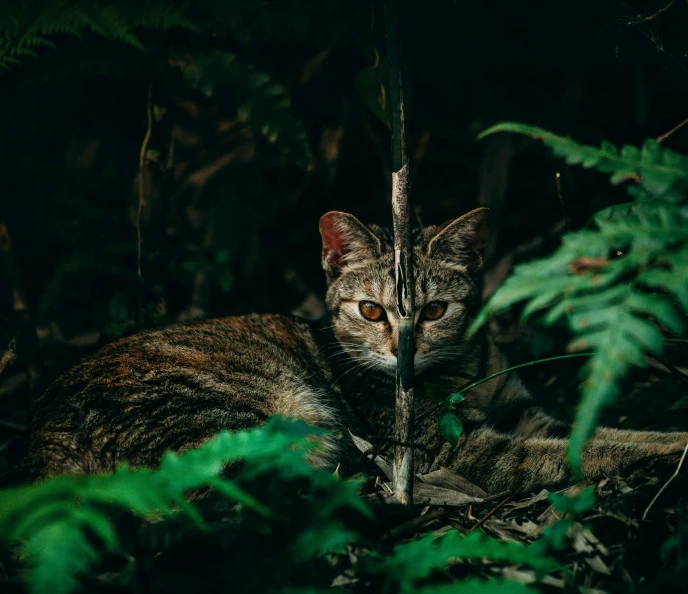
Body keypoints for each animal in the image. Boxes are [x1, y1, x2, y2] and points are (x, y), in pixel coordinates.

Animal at [22, 206, 688, 492]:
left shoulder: (525, 413)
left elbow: (593, 432)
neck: (469, 371)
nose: (404, 350)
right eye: (371, 310)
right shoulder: (457, 451)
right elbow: (591, 449)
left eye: (435, 311)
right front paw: (672, 445)